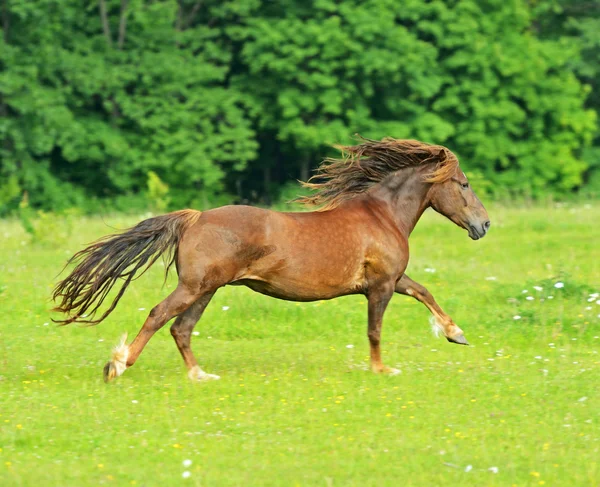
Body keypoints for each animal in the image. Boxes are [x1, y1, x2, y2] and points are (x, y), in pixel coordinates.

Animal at [51, 135, 490, 384]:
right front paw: (383, 370)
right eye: (464, 184)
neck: (382, 215)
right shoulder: (380, 286)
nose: (484, 224)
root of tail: (195, 217)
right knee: (160, 316)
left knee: (181, 328)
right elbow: (375, 331)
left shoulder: (393, 280)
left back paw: (200, 375)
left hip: (207, 289)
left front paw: (456, 334)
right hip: (195, 287)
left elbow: (424, 291)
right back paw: (118, 365)